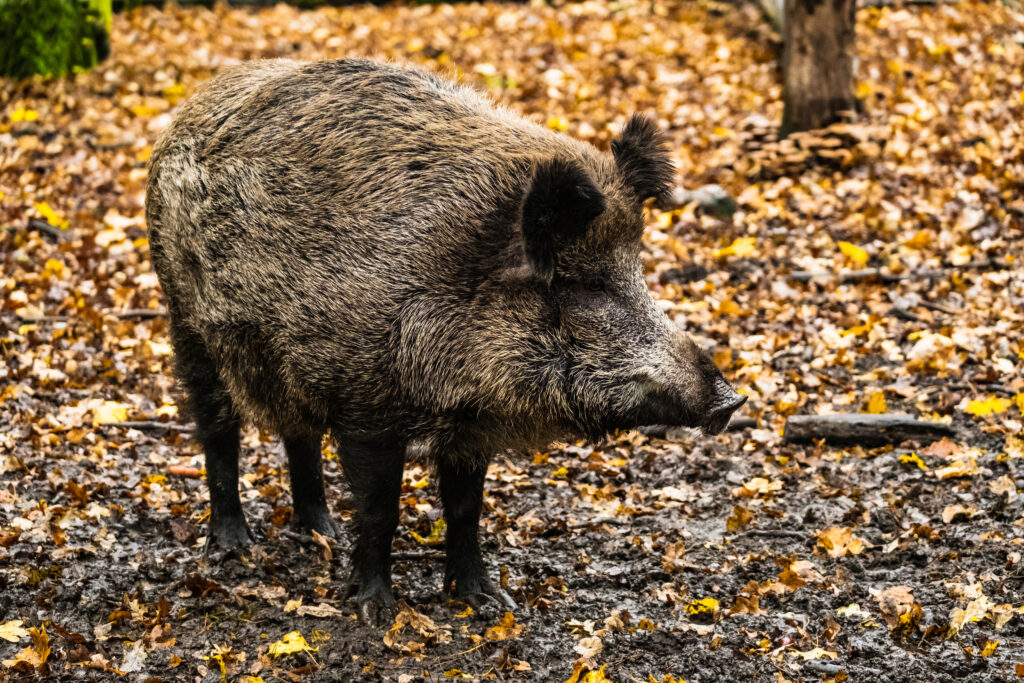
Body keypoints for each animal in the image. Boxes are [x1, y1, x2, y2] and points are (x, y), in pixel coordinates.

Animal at [145, 59, 746, 625]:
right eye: (587, 285)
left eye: (637, 271)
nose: (732, 400)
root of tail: (184, 113)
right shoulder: (366, 406)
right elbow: (380, 511)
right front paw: (376, 612)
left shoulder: (471, 423)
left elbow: (465, 509)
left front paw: (488, 602)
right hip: (187, 322)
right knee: (217, 430)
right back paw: (232, 550)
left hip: (291, 362)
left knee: (299, 434)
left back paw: (323, 535)